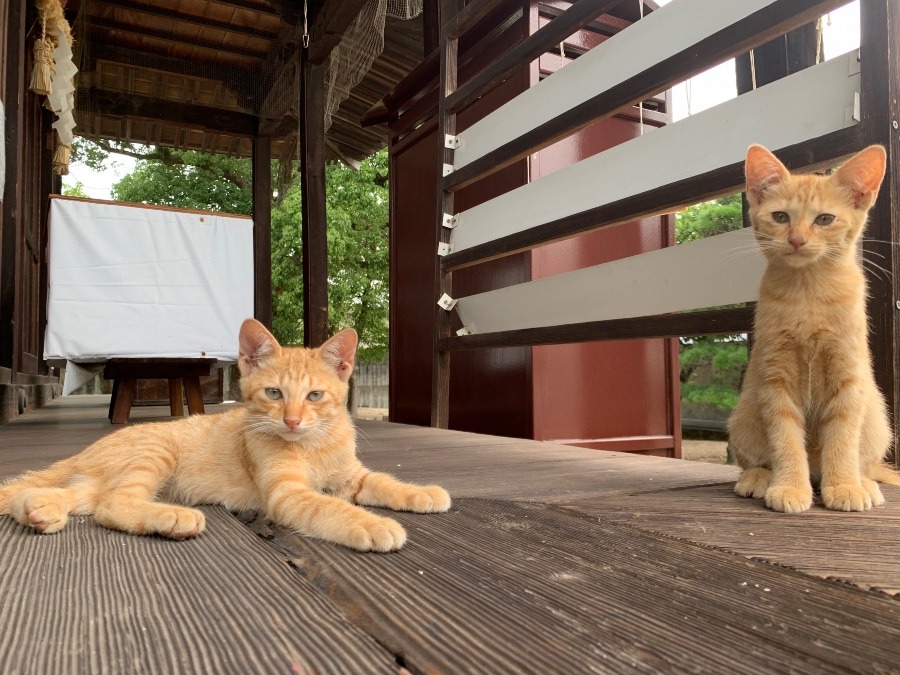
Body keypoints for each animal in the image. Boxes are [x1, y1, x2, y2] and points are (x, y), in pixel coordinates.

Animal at [0, 320, 450, 548]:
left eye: (315, 395)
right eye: (274, 393)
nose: (291, 421)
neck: (313, 445)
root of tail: (89, 449)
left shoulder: (352, 477)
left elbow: (384, 482)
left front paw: (424, 493)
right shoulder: (288, 495)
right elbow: (330, 507)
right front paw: (373, 525)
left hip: (97, 479)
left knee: (74, 497)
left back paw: (38, 509)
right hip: (154, 452)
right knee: (111, 505)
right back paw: (174, 518)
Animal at [732, 143, 900, 512]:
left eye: (824, 219)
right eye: (781, 217)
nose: (796, 239)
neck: (808, 294)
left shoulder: (849, 376)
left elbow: (842, 437)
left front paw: (845, 486)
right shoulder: (774, 380)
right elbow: (785, 439)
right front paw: (791, 487)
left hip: (877, 416)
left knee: (865, 461)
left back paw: (862, 481)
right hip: (744, 413)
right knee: (754, 459)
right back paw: (759, 477)